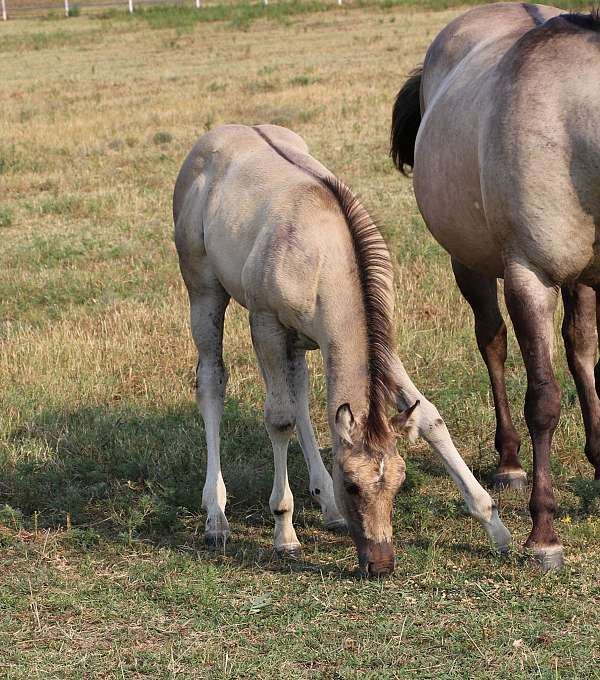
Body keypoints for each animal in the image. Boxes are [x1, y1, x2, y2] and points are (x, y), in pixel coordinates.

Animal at [173, 123, 511, 576]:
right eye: (351, 484)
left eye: (400, 482)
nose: (381, 563)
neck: (325, 259)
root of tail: (215, 137)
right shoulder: (266, 325)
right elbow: (279, 420)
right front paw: (285, 533)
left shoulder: (375, 345)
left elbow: (428, 416)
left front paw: (495, 525)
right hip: (205, 294)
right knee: (213, 382)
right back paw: (216, 516)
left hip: (299, 343)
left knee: (301, 394)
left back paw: (326, 506)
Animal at [391, 2, 600, 570]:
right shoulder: (530, 277)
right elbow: (544, 401)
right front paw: (543, 534)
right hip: (471, 263)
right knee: (493, 342)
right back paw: (509, 463)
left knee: (578, 349)